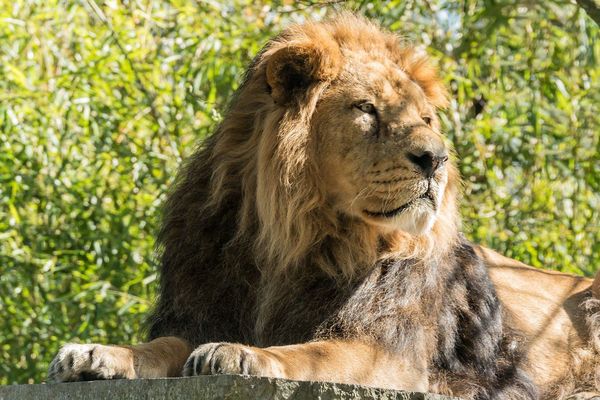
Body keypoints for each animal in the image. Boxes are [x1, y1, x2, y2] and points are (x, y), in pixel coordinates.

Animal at [48, 14, 600, 398]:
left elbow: (309, 353)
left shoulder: (390, 356)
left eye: (426, 119)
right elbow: (162, 346)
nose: (437, 159)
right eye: (367, 109)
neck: (292, 239)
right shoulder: (202, 308)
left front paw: (240, 353)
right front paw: (95, 354)